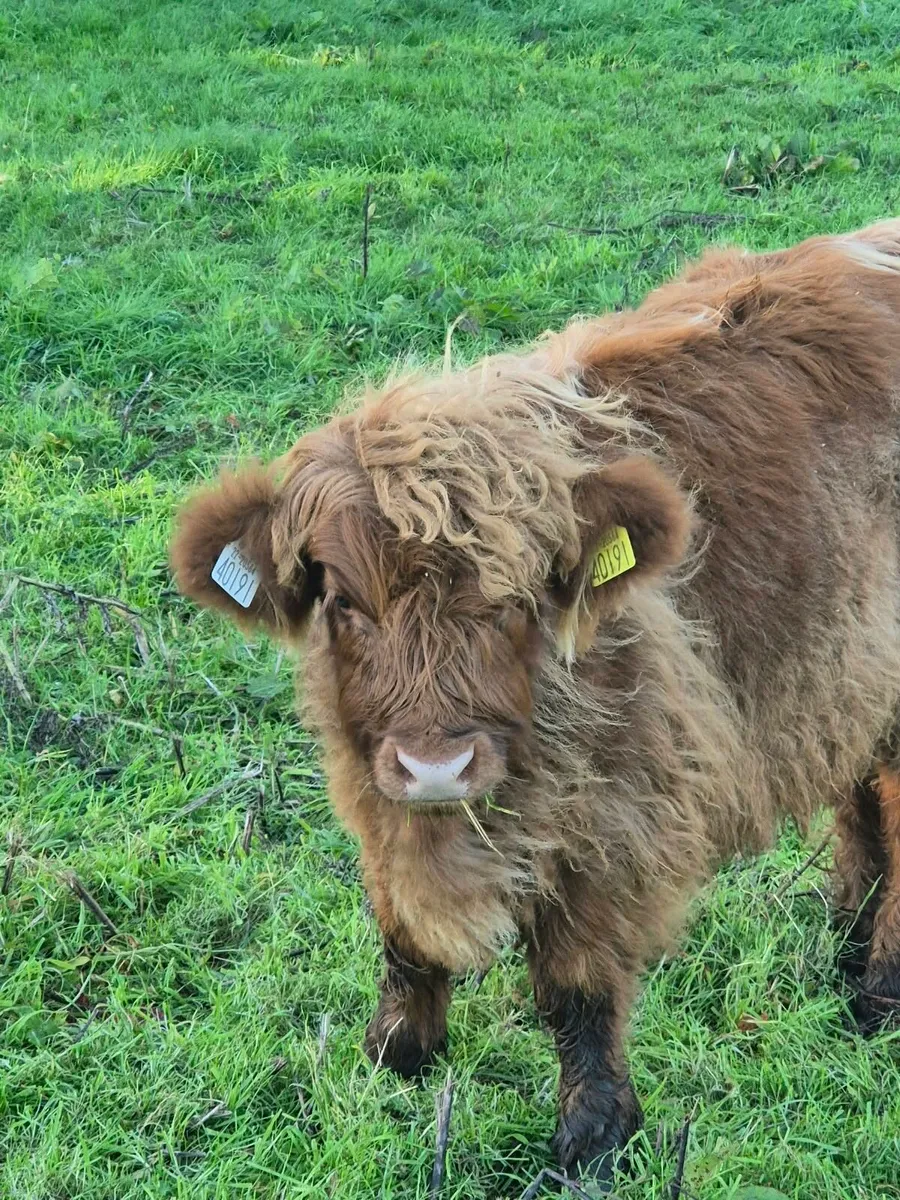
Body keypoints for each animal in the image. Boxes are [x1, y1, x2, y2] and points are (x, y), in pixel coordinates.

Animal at [170, 220, 900, 1183]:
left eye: (514, 600)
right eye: (344, 601)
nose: (437, 763)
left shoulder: (617, 813)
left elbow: (575, 984)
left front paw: (593, 1136)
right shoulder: (372, 787)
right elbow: (400, 929)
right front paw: (397, 1051)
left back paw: (881, 992)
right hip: (847, 671)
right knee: (864, 797)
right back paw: (847, 943)